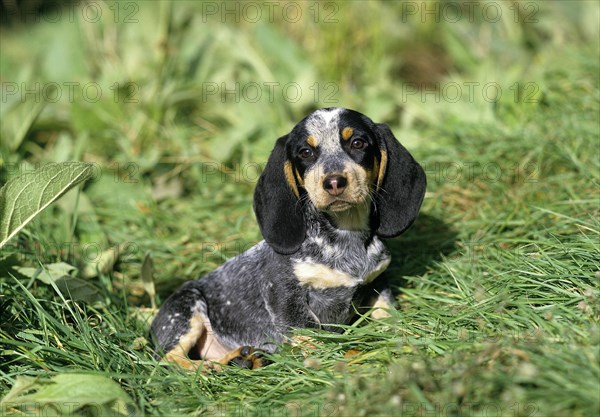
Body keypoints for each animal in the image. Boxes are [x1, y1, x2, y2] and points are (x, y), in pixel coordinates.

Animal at [152, 108, 428, 370]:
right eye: (305, 152)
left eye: (358, 143)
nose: (334, 182)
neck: (345, 236)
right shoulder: (285, 294)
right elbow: (313, 336)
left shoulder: (377, 282)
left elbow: (389, 316)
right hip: (187, 306)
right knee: (168, 359)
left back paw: (240, 360)